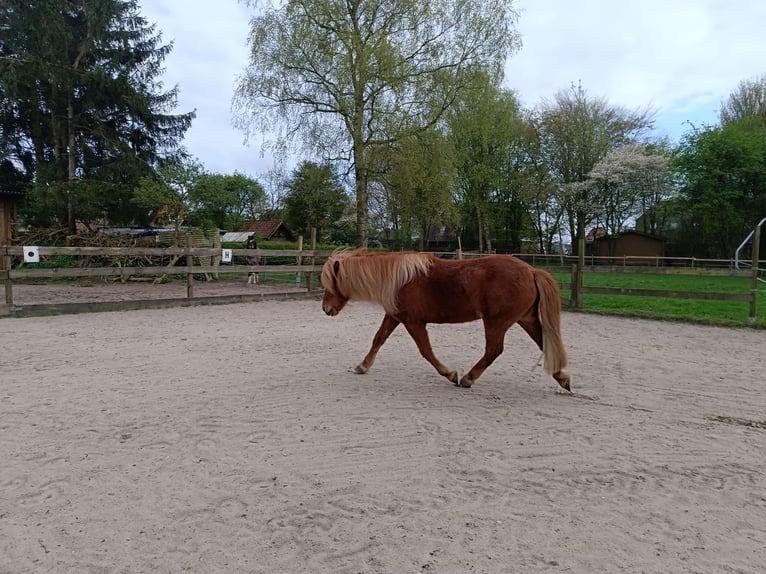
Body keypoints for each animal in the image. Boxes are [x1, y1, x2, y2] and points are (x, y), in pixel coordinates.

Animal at [321, 249, 571, 390]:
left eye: (331, 283)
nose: (326, 309)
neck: (399, 278)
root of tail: (532, 271)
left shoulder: (413, 322)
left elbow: (426, 351)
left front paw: (450, 374)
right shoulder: (394, 316)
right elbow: (378, 339)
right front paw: (362, 366)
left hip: (496, 323)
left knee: (494, 350)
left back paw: (468, 379)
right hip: (525, 320)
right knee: (544, 344)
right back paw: (562, 378)